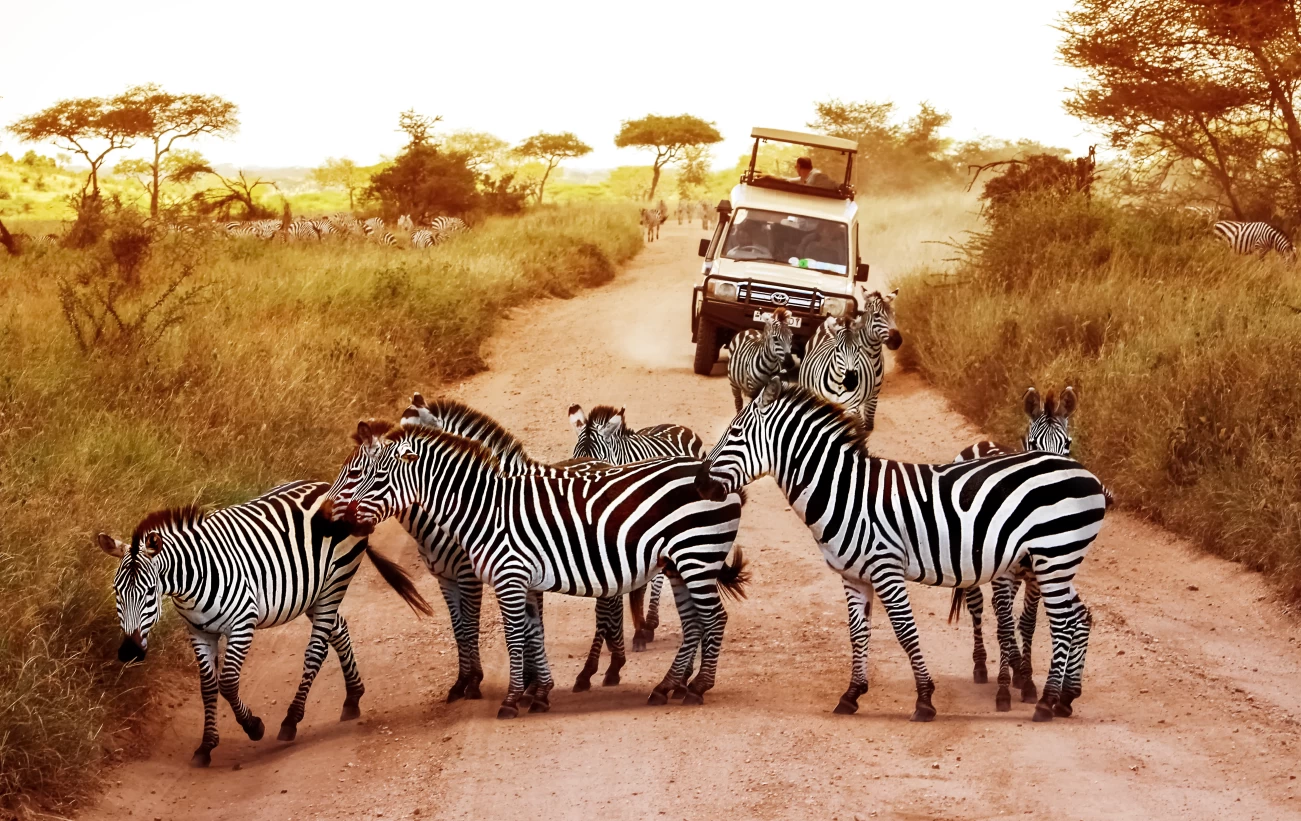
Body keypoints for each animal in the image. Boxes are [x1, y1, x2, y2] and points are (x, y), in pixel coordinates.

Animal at [98, 478, 431, 770]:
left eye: (149, 592)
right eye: (116, 591)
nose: (129, 652)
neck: (190, 581)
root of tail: (326, 485)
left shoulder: (242, 625)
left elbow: (227, 683)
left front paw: (253, 726)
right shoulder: (199, 632)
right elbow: (208, 687)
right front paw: (205, 747)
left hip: (334, 584)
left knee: (317, 650)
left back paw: (291, 720)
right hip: (313, 593)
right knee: (339, 630)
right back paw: (352, 697)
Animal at [697, 379, 1103, 718]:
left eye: (734, 434)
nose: (701, 482)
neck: (846, 493)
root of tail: (1086, 474)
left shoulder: (886, 568)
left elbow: (906, 633)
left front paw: (924, 699)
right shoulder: (853, 576)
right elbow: (857, 633)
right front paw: (851, 695)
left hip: (1052, 557)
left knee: (1064, 623)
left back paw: (1046, 703)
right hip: (1057, 561)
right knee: (1080, 616)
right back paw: (1066, 698)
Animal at [796, 288, 900, 429]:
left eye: (894, 315)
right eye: (877, 315)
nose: (897, 340)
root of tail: (839, 316)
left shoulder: (873, 396)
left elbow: (866, 423)